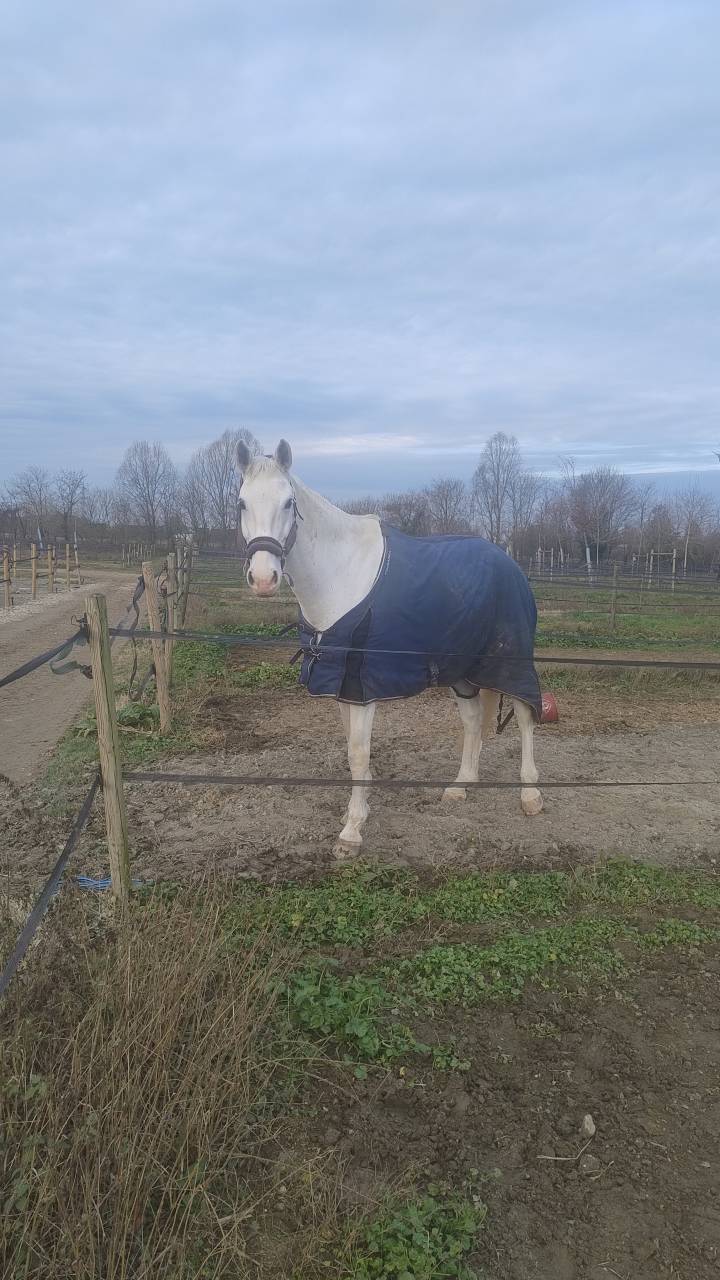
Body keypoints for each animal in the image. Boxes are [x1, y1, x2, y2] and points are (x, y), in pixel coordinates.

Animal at [236, 439, 543, 855]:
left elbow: (358, 752)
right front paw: (356, 813)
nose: (264, 578)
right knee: (472, 720)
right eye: (242, 503)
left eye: (288, 502)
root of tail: (509, 563)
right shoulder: (342, 684)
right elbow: (353, 749)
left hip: (511, 663)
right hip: (462, 671)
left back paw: (530, 795)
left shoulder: (362, 684)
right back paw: (460, 786)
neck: (339, 574)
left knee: (526, 716)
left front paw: (351, 832)